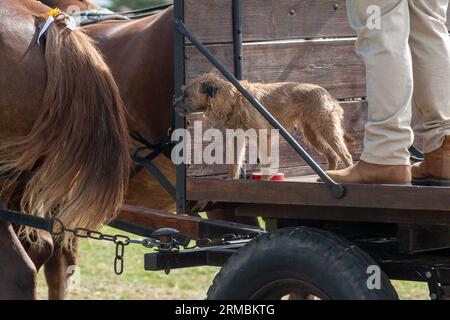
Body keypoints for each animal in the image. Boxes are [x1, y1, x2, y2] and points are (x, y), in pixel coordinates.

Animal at [178, 72, 354, 180]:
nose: (174, 101)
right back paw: (327, 176)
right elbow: (234, 162)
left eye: (186, 95)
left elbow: (265, 161)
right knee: (333, 156)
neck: (234, 98)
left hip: (327, 130)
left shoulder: (264, 137)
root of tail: (327, 94)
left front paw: (265, 179)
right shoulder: (237, 139)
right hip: (313, 135)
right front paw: (232, 180)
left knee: (346, 155)